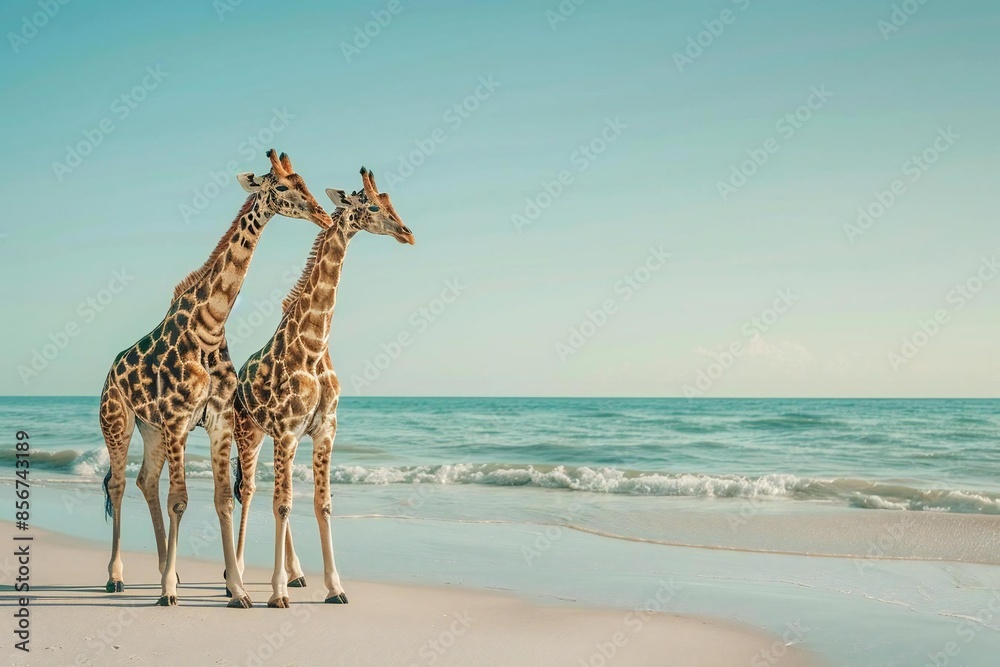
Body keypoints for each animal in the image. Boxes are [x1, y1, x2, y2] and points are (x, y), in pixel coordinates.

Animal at [99, 149, 333, 607]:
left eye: (306, 183)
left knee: (145, 481)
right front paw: (170, 592)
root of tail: (110, 371)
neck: (209, 324)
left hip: (151, 429)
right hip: (118, 422)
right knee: (118, 484)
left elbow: (223, 499)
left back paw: (162, 569)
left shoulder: (219, 419)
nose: (320, 213)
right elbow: (180, 500)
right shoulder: (178, 419)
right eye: (282, 186)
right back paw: (118, 577)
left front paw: (237, 589)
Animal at [229, 167, 414, 608]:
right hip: (249, 433)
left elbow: (321, 503)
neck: (314, 346)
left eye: (390, 202)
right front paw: (277, 593)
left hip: (279, 439)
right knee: (249, 491)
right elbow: (282, 504)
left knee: (271, 492)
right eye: (372, 206)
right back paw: (240, 575)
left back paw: (296, 574)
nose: (407, 232)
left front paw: (334, 587)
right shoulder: (286, 429)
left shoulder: (323, 429)